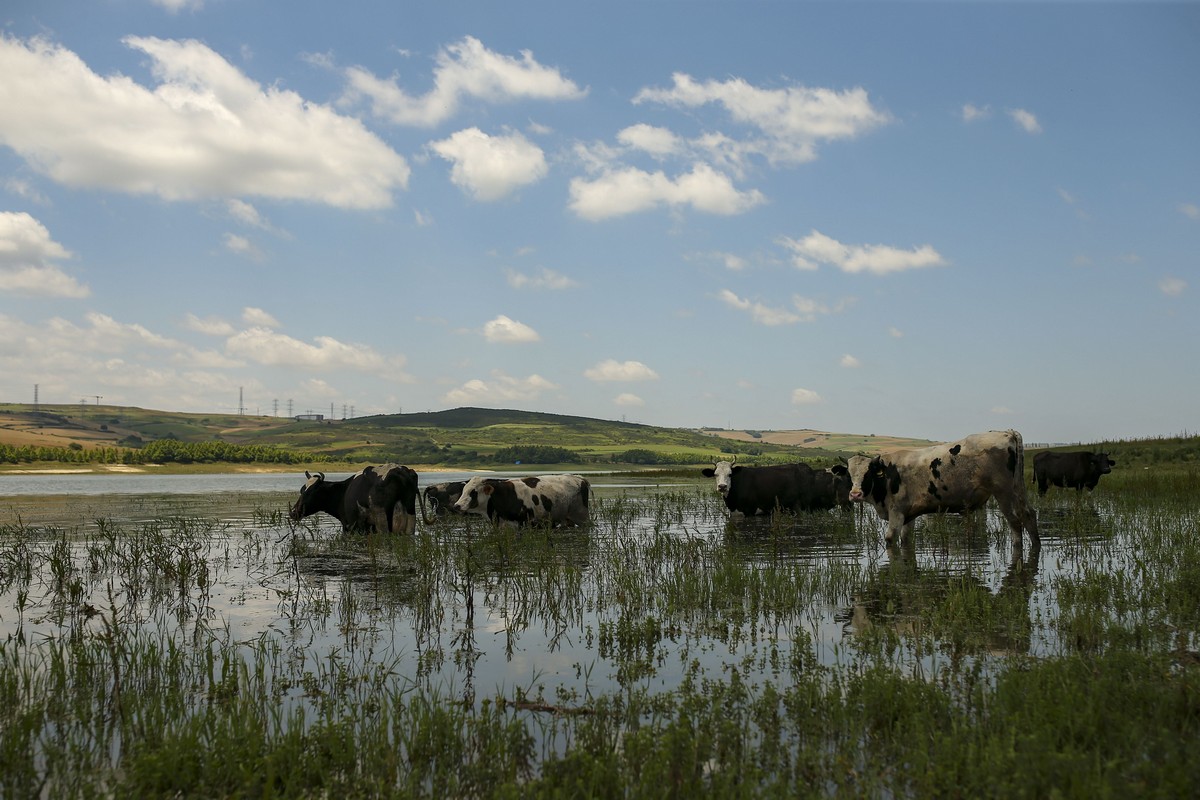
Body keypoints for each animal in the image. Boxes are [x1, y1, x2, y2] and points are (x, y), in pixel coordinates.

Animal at [290, 460, 422, 534]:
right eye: (302, 490)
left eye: (310, 492)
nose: (293, 512)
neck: (342, 492)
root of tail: (398, 469)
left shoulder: (349, 526)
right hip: (409, 520)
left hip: (382, 521)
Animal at [453, 472, 590, 527]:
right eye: (463, 490)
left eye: (473, 492)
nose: (456, 506)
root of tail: (579, 478)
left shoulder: (524, 523)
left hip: (582, 517)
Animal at [835, 431, 1041, 551]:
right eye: (850, 475)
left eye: (868, 473)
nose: (855, 494)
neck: (888, 475)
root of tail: (1007, 432)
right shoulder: (908, 515)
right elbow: (906, 540)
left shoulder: (896, 513)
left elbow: (890, 540)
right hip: (1017, 490)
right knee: (1028, 515)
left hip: (1004, 493)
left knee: (1015, 523)